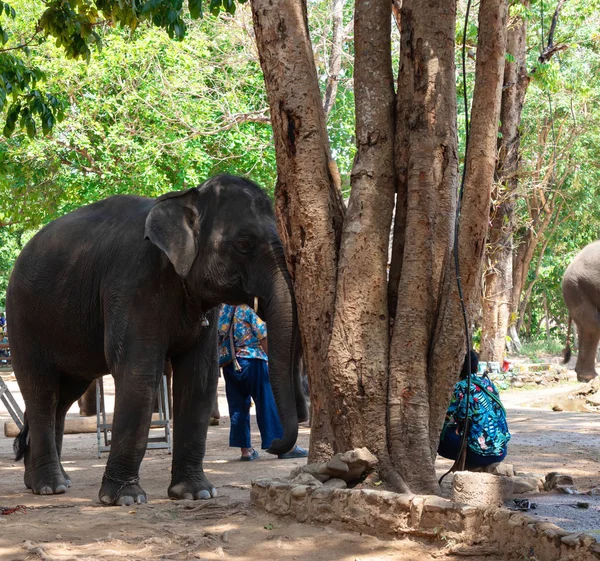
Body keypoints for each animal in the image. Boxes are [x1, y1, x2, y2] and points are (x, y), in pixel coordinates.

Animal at [8, 174, 308, 504]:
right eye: (244, 244)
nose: (275, 445)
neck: (185, 198)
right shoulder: (132, 282)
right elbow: (139, 372)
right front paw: (125, 499)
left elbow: (199, 376)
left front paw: (196, 493)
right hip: (23, 320)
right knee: (41, 390)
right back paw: (50, 486)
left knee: (63, 397)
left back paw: (51, 481)